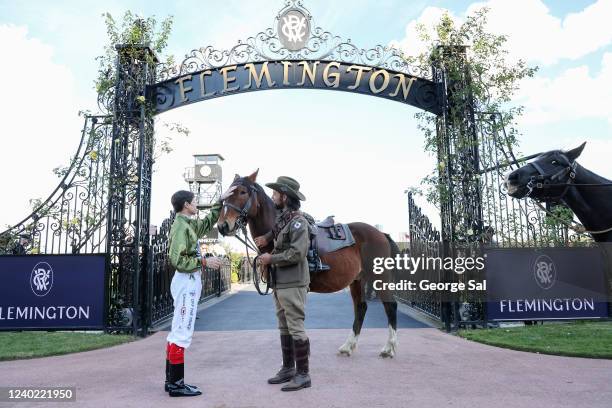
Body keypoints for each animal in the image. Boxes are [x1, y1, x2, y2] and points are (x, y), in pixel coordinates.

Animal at [218, 169, 400, 356]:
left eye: (242, 192)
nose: (222, 225)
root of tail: (380, 234)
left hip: (379, 277)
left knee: (390, 306)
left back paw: (389, 348)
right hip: (357, 280)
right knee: (361, 308)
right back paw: (348, 346)